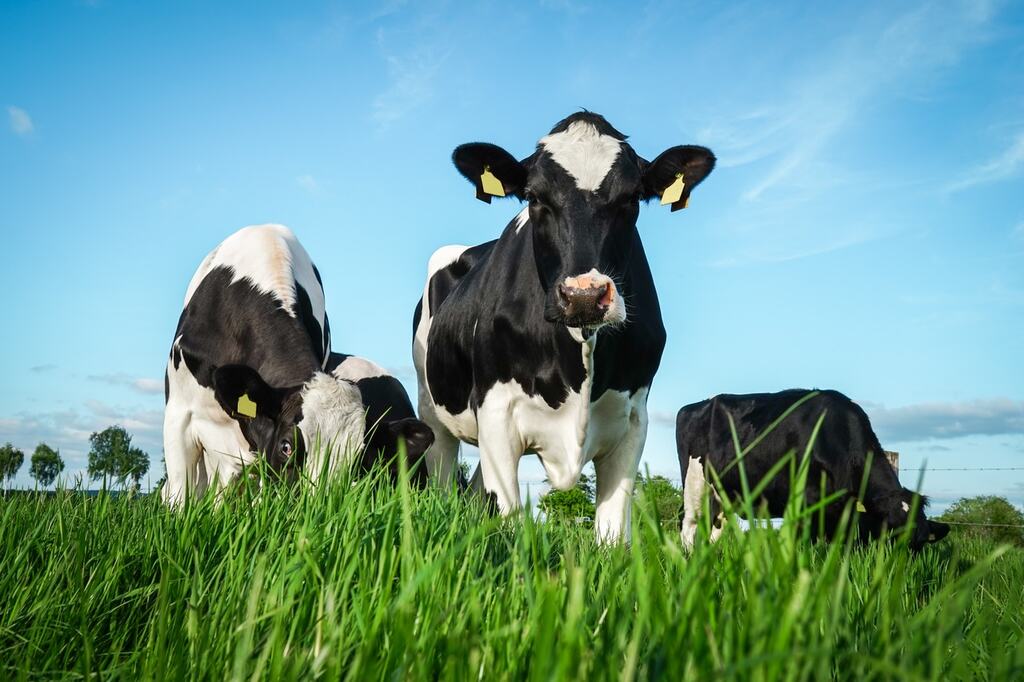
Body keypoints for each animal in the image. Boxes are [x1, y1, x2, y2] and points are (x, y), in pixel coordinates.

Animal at [413, 112, 715, 541]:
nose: (584, 295)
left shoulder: (633, 421)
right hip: (432, 411)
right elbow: (509, 524)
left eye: (631, 198)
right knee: (442, 481)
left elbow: (611, 537)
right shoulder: (496, 412)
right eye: (535, 198)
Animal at [676, 389, 951, 551]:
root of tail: (695, 405)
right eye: (891, 536)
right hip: (694, 484)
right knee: (688, 528)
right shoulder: (805, 503)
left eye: (919, 545)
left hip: (721, 498)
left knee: (713, 532)